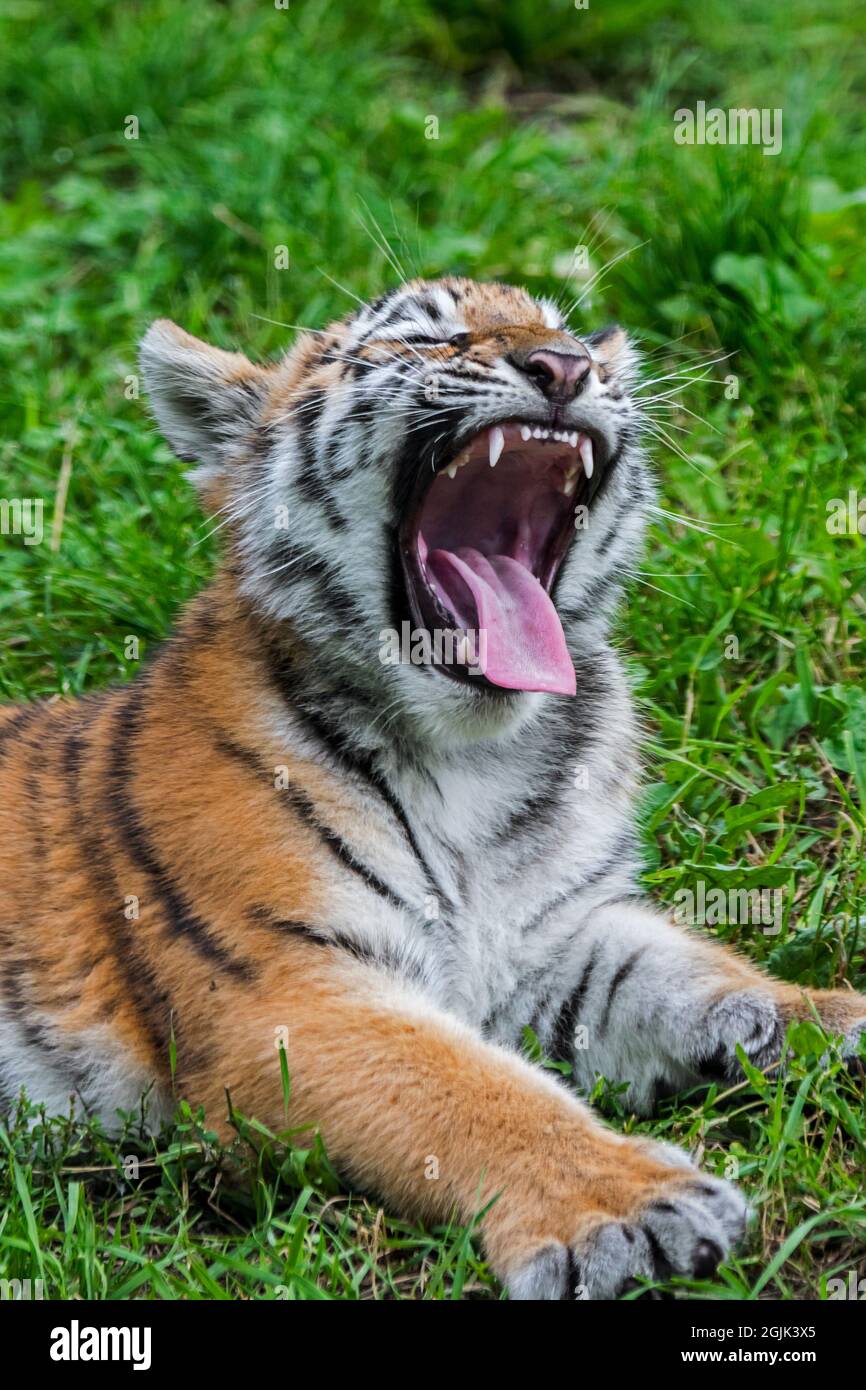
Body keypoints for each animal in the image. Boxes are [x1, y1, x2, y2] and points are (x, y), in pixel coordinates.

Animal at [1, 276, 864, 1301]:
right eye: (428, 337)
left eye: (571, 336)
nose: (565, 367)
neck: (474, 763)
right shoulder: (285, 994)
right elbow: (468, 1092)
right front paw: (625, 1206)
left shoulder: (555, 943)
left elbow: (701, 977)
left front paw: (831, 1016)